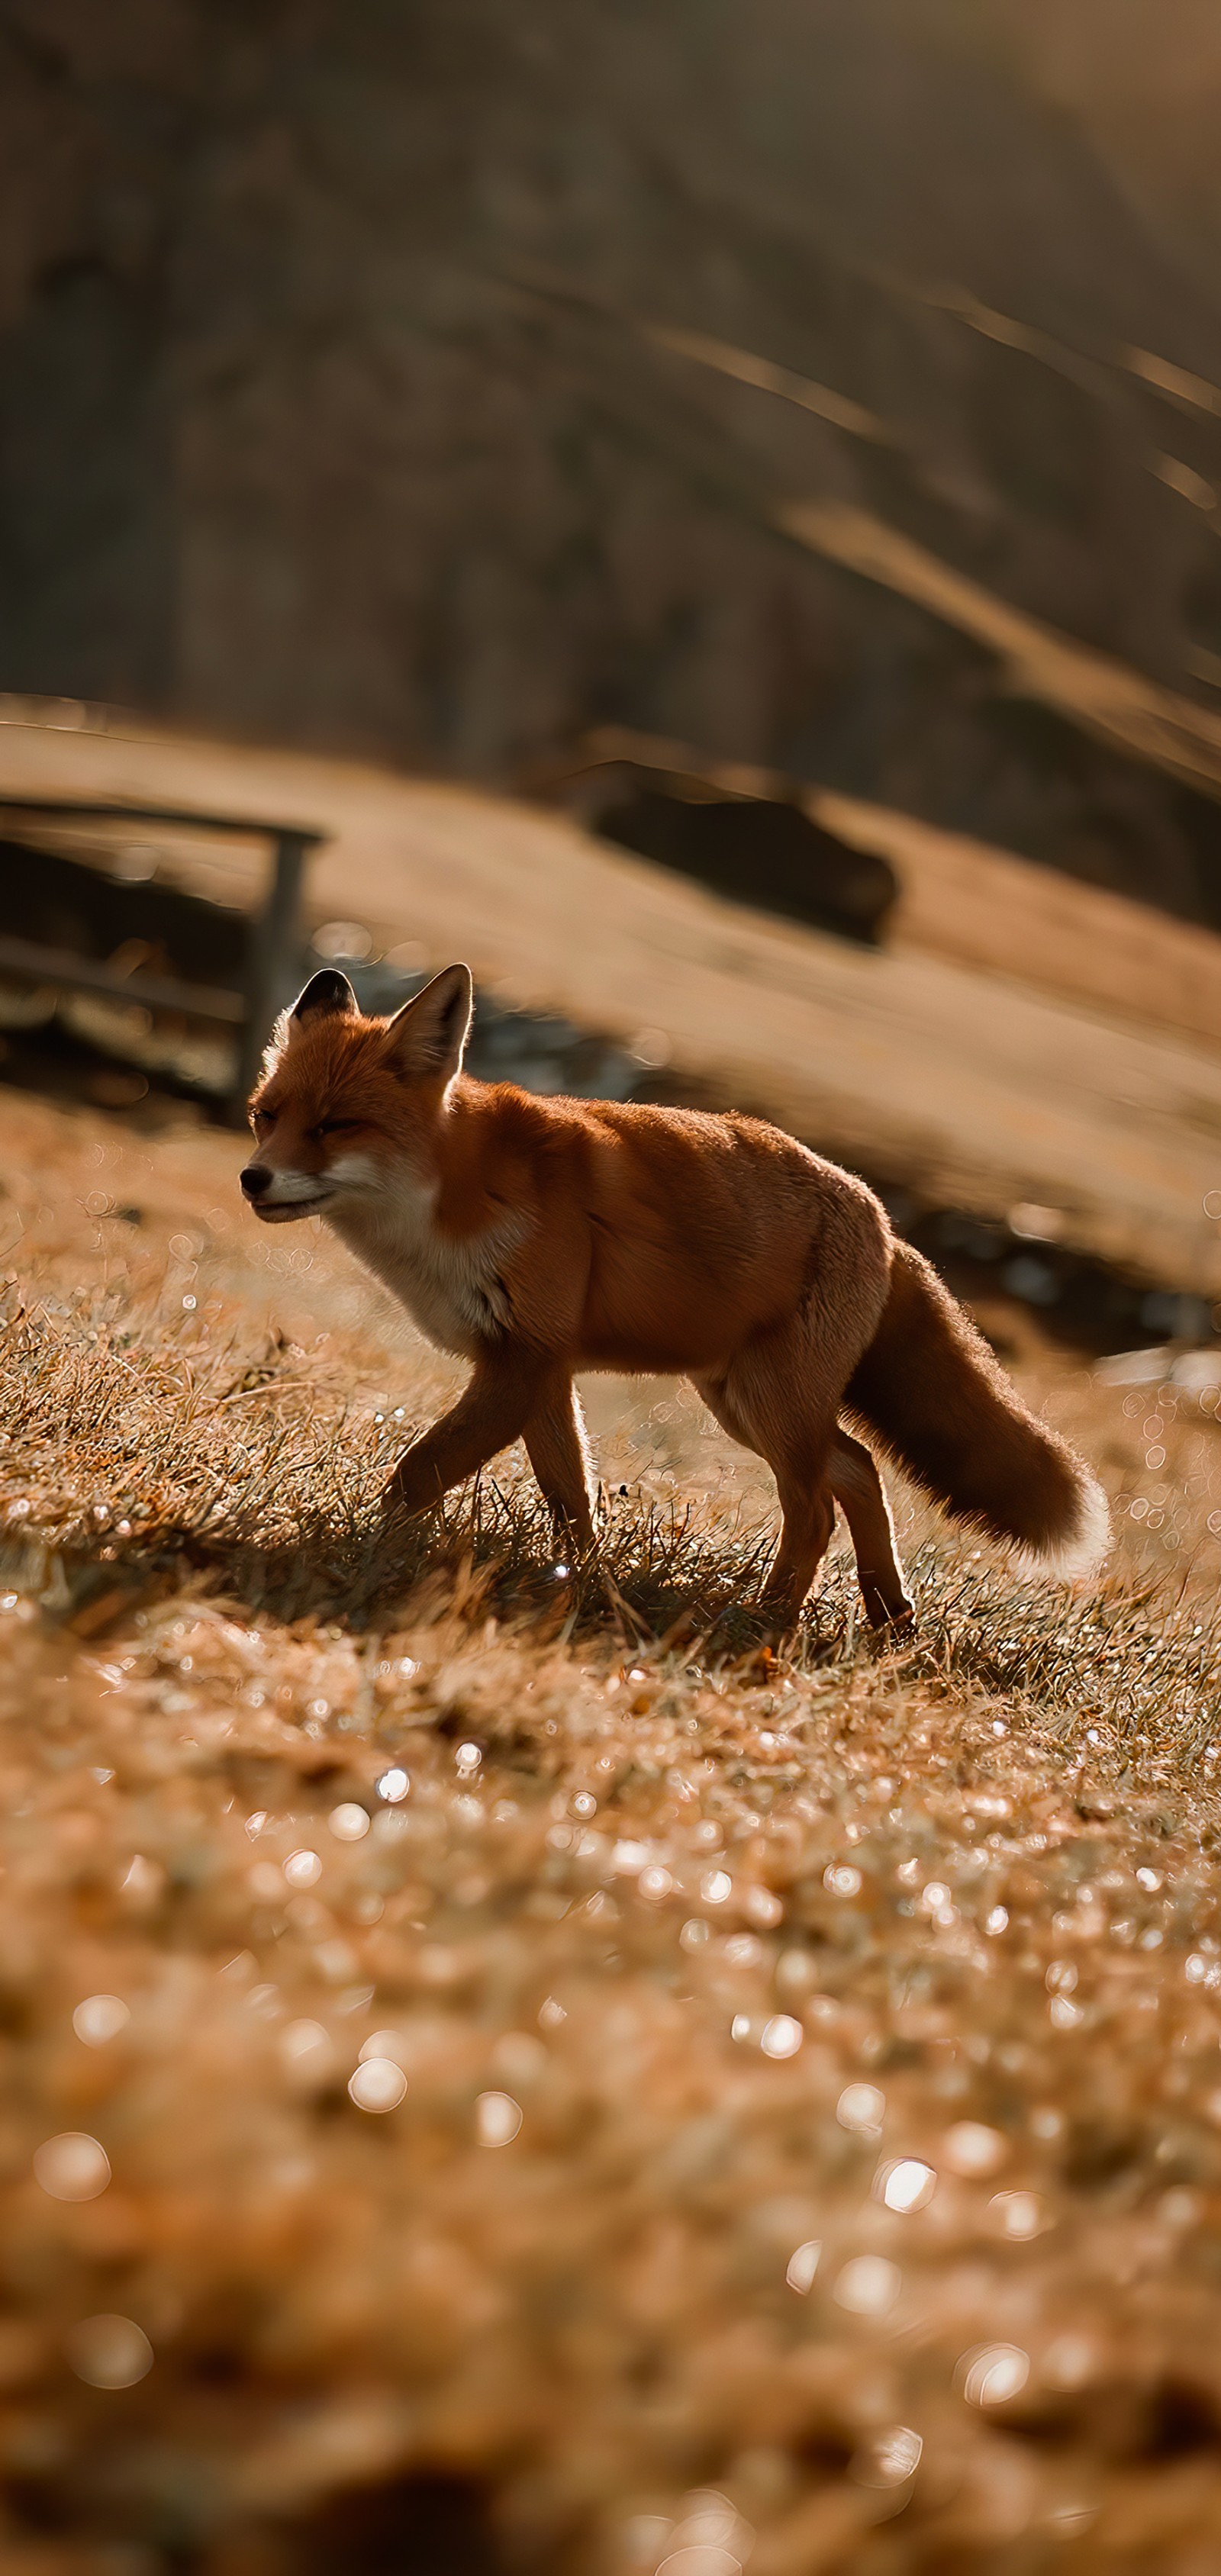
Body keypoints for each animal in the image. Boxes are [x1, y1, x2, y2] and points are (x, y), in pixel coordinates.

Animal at [238, 968, 1107, 1628]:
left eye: (337, 1125)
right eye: (266, 1116)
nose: (252, 1177)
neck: (451, 1196)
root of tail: (886, 1223)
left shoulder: (524, 1360)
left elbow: (419, 1473)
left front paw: (367, 1551)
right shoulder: (538, 1367)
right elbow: (573, 1500)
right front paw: (582, 1586)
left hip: (770, 1401)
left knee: (817, 1507)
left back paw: (768, 1623)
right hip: (743, 1399)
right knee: (859, 1469)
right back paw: (888, 1615)